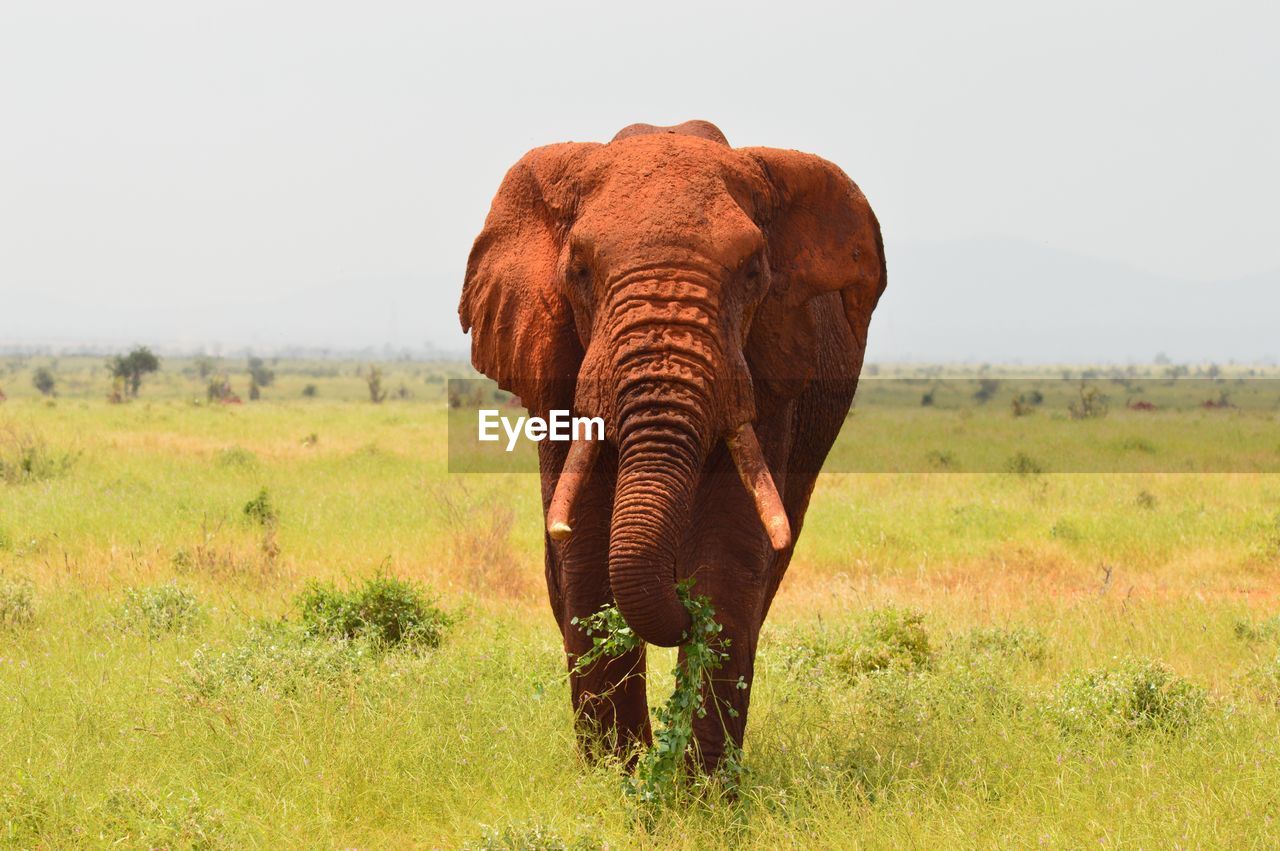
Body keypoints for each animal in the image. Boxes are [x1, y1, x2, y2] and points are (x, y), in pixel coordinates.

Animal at [460, 120, 890, 767]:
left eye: (753, 272)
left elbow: (732, 552)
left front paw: (699, 786)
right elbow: (584, 551)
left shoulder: (768, 367)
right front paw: (618, 777)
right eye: (579, 270)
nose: (680, 606)